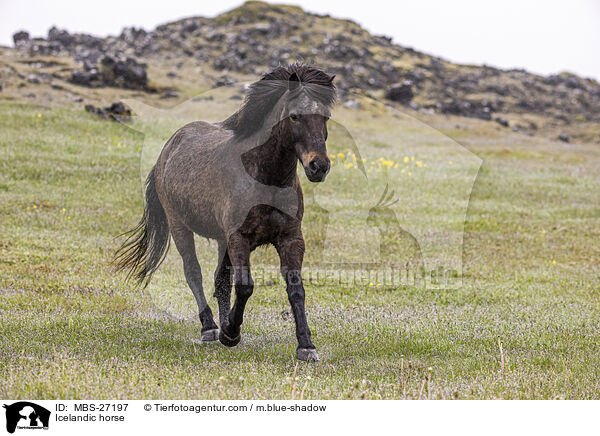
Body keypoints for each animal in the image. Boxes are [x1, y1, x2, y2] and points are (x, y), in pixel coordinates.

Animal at [113, 63, 338, 362]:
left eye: (325, 118)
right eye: (295, 116)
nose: (319, 166)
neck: (265, 179)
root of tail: (167, 150)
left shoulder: (291, 239)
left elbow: (295, 289)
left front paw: (306, 345)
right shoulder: (239, 237)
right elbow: (244, 286)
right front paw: (231, 333)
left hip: (221, 240)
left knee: (219, 280)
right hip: (180, 227)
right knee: (193, 273)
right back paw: (210, 327)